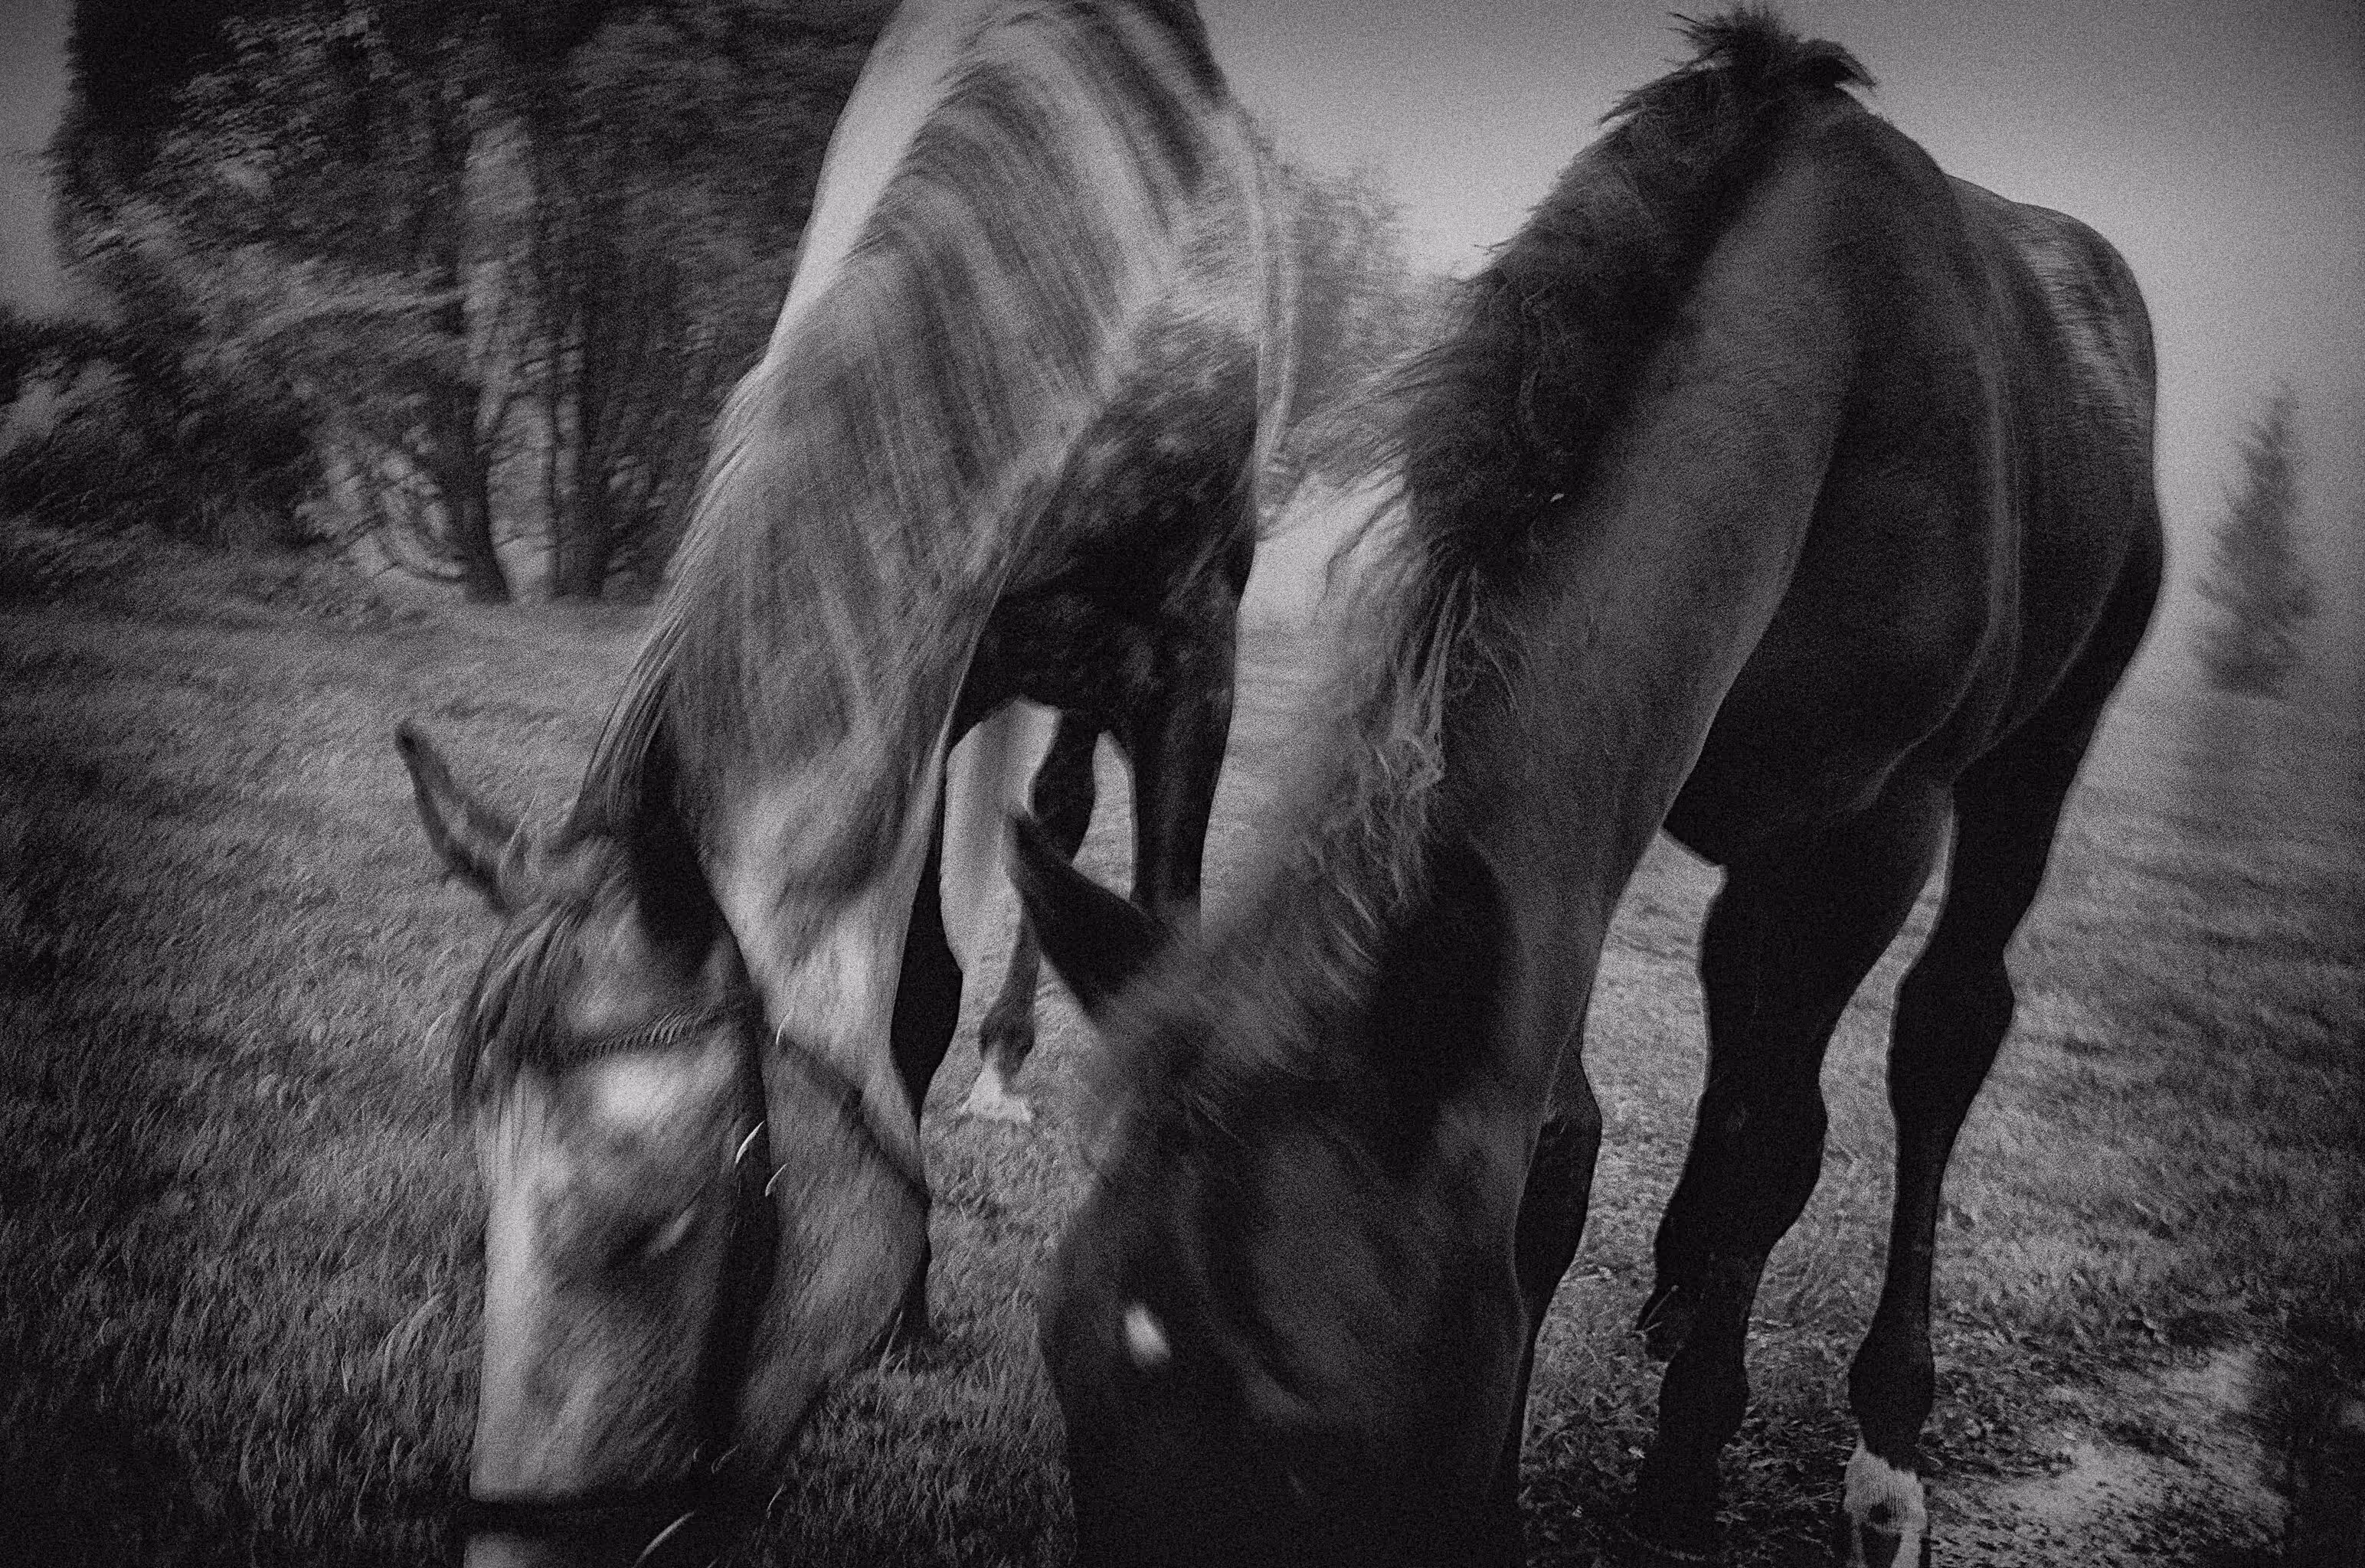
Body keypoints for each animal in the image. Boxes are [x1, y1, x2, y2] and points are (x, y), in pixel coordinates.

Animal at [393, 2, 1291, 1561]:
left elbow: (1160, 947)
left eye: (655, 1231)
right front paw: (908, 1311)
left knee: (1062, 816)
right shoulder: (935, 677)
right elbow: (910, 993)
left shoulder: (1194, 659)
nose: (512, 1547)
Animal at [1010, 12, 2162, 1566]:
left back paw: (1882, 1444)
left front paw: (1683, 1475)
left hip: (2028, 762)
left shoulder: (1874, 828)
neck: (1827, 360)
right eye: (1068, 1369)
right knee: (1744, 1019)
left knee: (1938, 1034)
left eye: (1307, 1441)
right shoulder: (1560, 862)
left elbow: (1777, 1142)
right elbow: (1565, 1149)